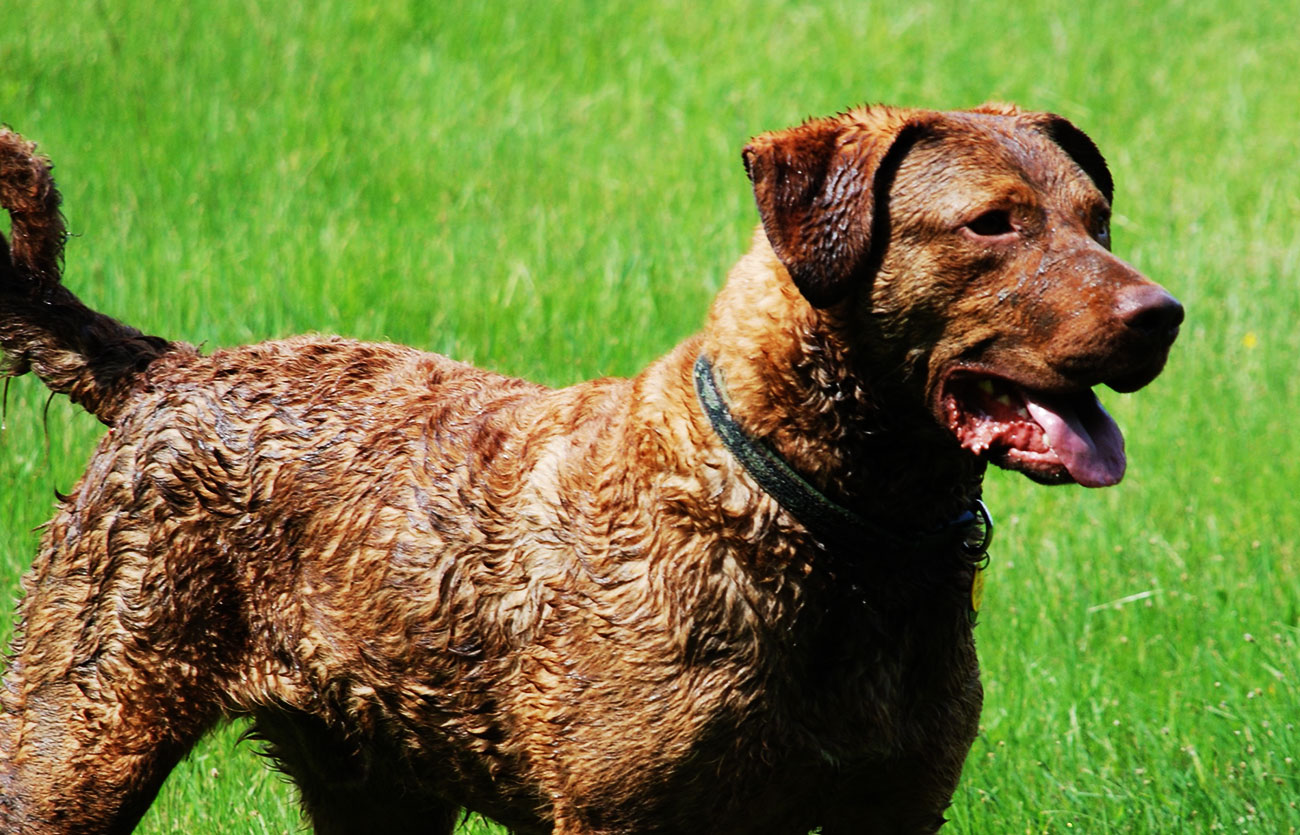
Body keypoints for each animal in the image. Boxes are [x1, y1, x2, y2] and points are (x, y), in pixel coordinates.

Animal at [0, 105, 1180, 832]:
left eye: (1097, 217)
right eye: (993, 223)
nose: (1162, 314)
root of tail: (164, 369)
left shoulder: (895, 803)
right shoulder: (622, 810)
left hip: (373, 778)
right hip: (75, 737)